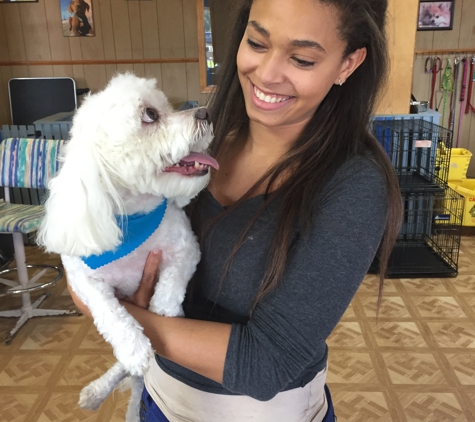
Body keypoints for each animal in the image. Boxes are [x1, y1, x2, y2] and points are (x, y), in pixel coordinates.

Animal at [37, 73, 218, 422]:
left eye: (166, 106)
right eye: (150, 115)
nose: (205, 112)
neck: (133, 217)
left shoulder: (186, 249)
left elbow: (170, 286)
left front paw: (165, 311)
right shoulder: (83, 281)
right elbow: (110, 313)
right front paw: (134, 348)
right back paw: (98, 391)